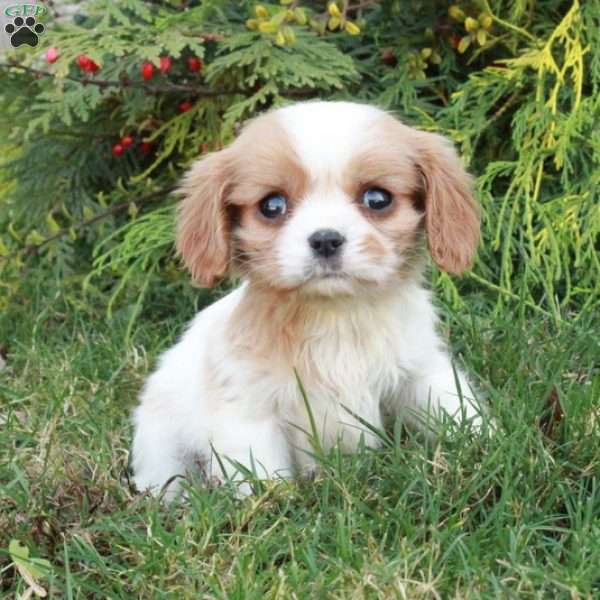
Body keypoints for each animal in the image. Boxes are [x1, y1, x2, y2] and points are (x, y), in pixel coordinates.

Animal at [132, 101, 482, 500]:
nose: (326, 239)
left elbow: (455, 408)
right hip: (161, 443)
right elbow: (262, 472)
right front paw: (273, 503)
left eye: (377, 199)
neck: (336, 313)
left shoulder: (421, 370)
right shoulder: (249, 409)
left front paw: (485, 445)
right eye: (272, 206)